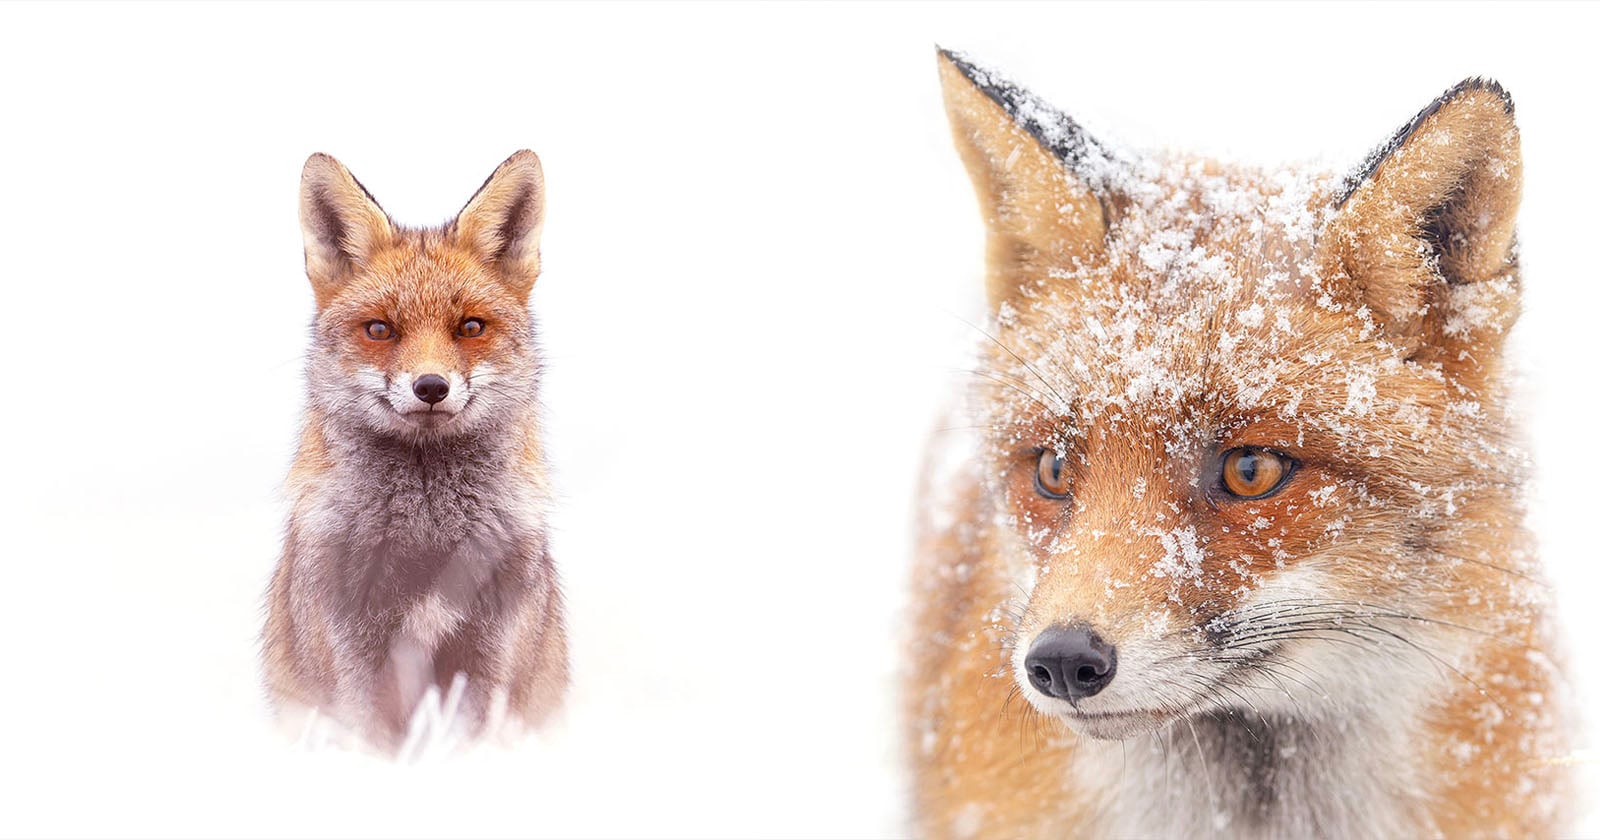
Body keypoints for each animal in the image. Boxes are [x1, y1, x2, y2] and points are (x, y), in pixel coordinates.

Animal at [262, 151, 568, 751]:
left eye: (470, 326)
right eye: (380, 330)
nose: (431, 386)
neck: (427, 538)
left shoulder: (493, 654)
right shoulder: (351, 660)